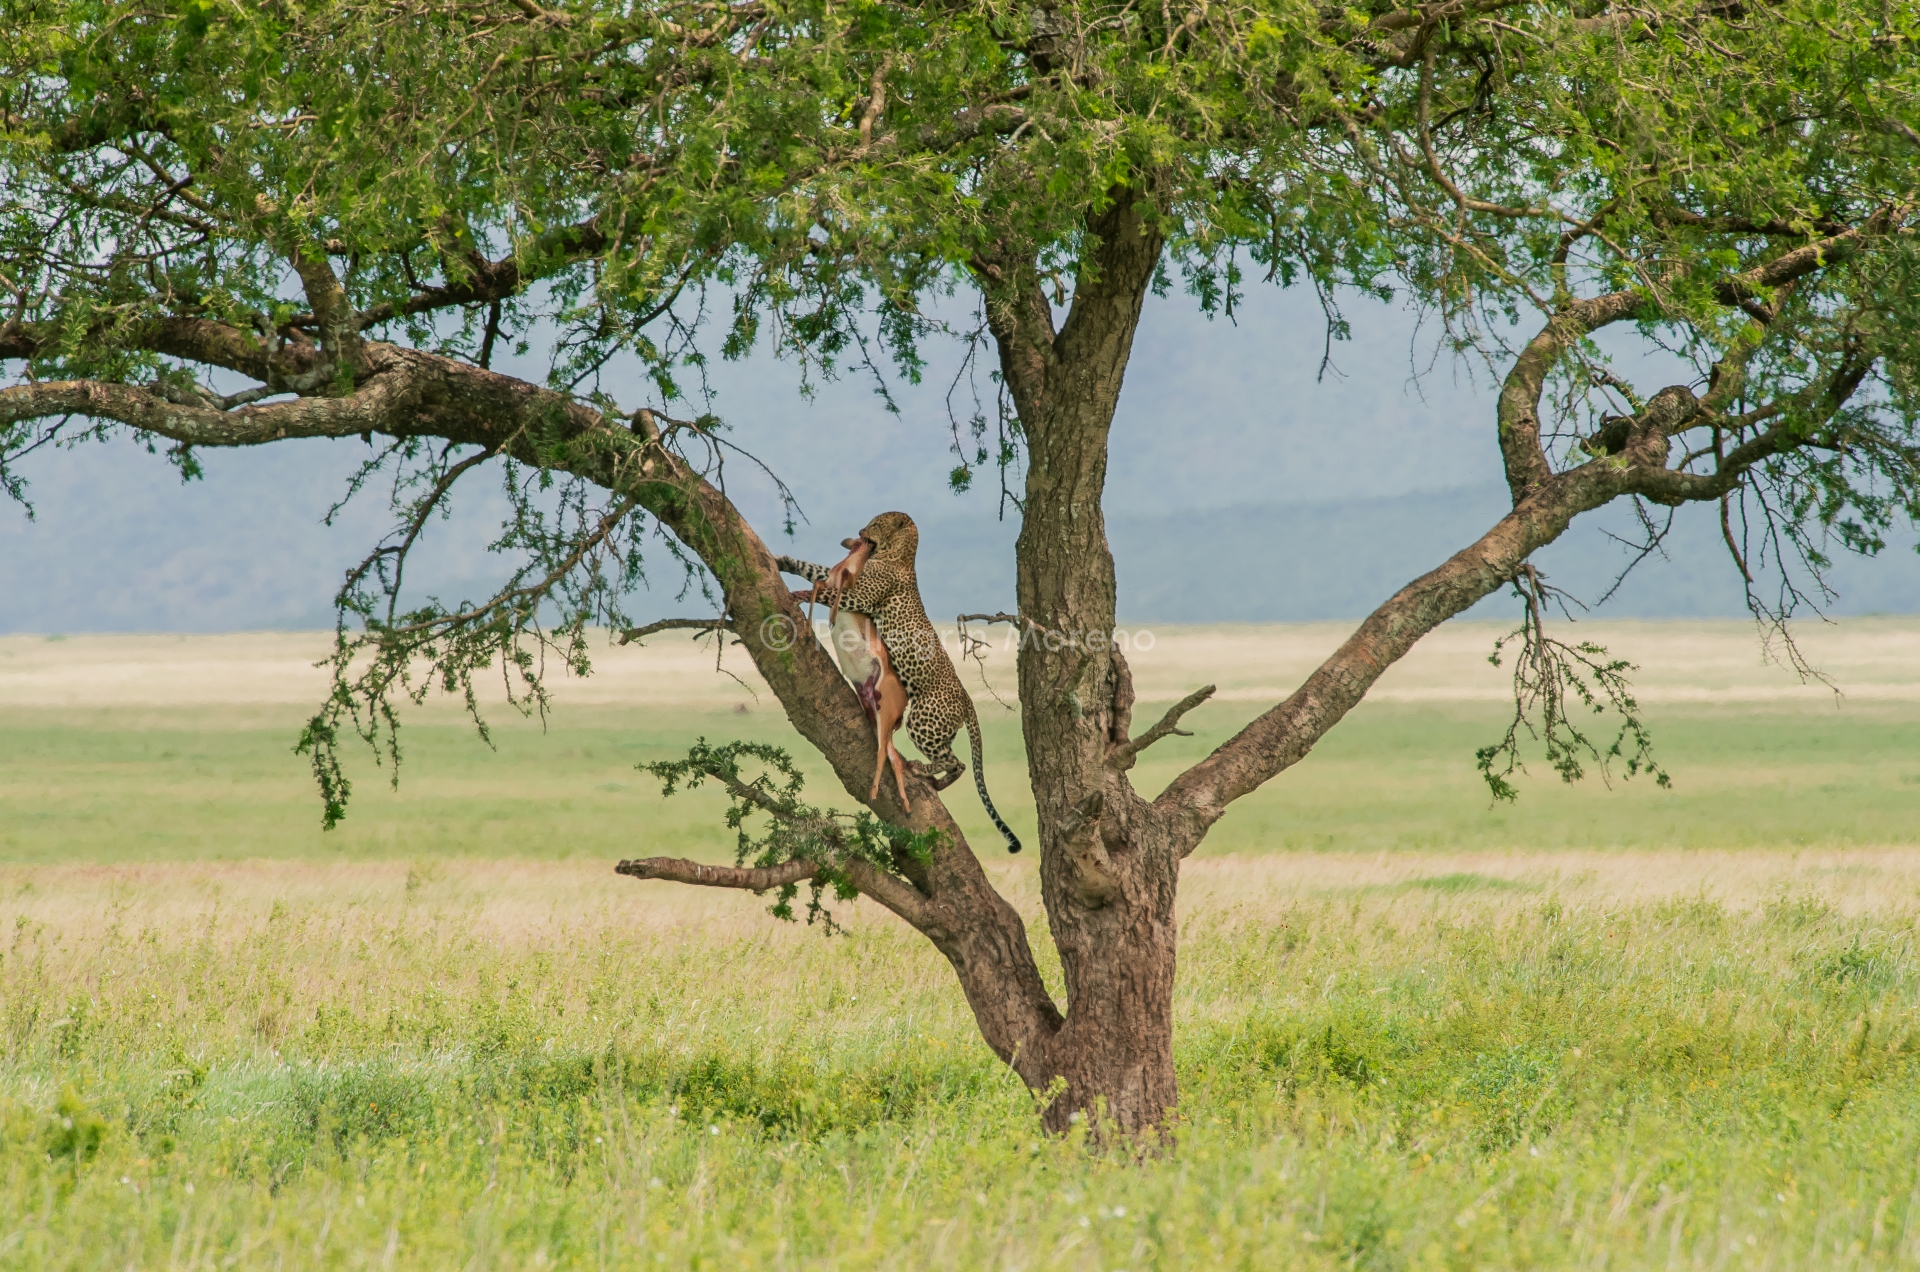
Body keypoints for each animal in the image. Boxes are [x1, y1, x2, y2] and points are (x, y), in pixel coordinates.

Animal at [779, 511, 1022, 853]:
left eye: (875, 524)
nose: (859, 532)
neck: (895, 554)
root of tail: (966, 699)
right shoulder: (849, 579)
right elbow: (816, 569)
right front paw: (784, 561)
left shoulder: (858, 596)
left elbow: (824, 588)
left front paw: (797, 593)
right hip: (937, 727)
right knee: (955, 762)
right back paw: (935, 782)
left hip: (922, 720)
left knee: (955, 761)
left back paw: (922, 770)